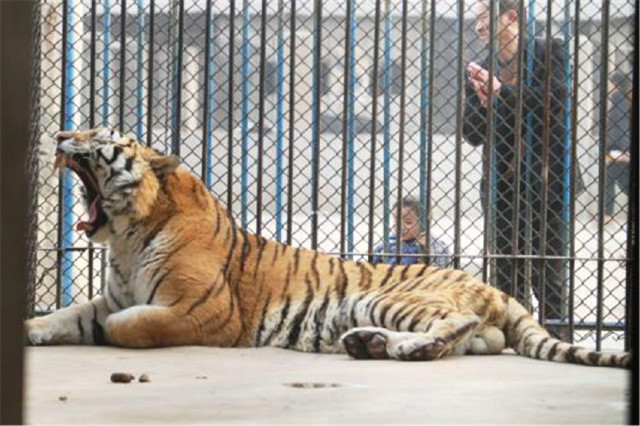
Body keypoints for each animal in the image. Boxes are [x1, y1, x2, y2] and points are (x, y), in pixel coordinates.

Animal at [25, 127, 629, 369]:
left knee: (452, 326)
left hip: (388, 298)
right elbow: (67, 315)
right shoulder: (110, 296)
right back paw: (370, 344)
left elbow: (126, 328)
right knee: (476, 340)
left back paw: (398, 348)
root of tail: (492, 286)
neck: (126, 238)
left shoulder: (204, 312)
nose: (59, 136)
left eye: (98, 133)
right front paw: (31, 329)